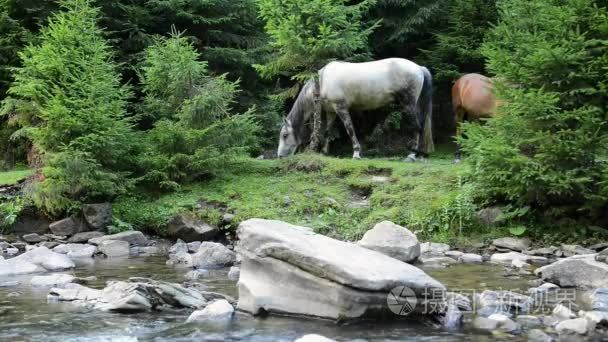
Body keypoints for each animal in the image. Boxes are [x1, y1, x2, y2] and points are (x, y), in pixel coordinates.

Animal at [276, 58, 432, 161]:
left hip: (408, 104)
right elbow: (327, 131)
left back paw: (411, 155)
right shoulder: (331, 112)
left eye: (285, 135)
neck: (322, 81)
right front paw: (325, 152)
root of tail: (419, 68)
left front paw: (356, 153)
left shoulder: (341, 107)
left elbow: (349, 129)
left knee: (417, 127)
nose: (279, 156)